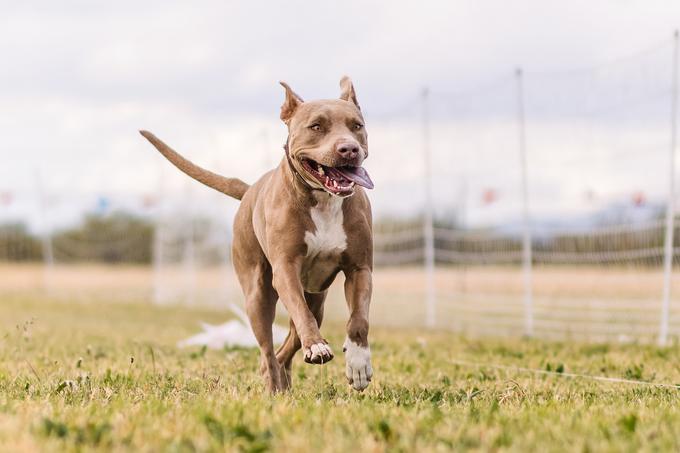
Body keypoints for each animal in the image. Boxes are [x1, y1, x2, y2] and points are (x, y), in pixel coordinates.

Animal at [140, 75, 374, 392]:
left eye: (356, 126)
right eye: (316, 126)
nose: (349, 149)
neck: (323, 200)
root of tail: (250, 188)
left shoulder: (359, 268)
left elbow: (358, 320)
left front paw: (359, 363)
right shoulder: (285, 270)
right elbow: (301, 314)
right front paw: (317, 347)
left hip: (316, 297)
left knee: (287, 345)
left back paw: (285, 380)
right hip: (257, 296)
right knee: (269, 349)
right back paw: (275, 385)